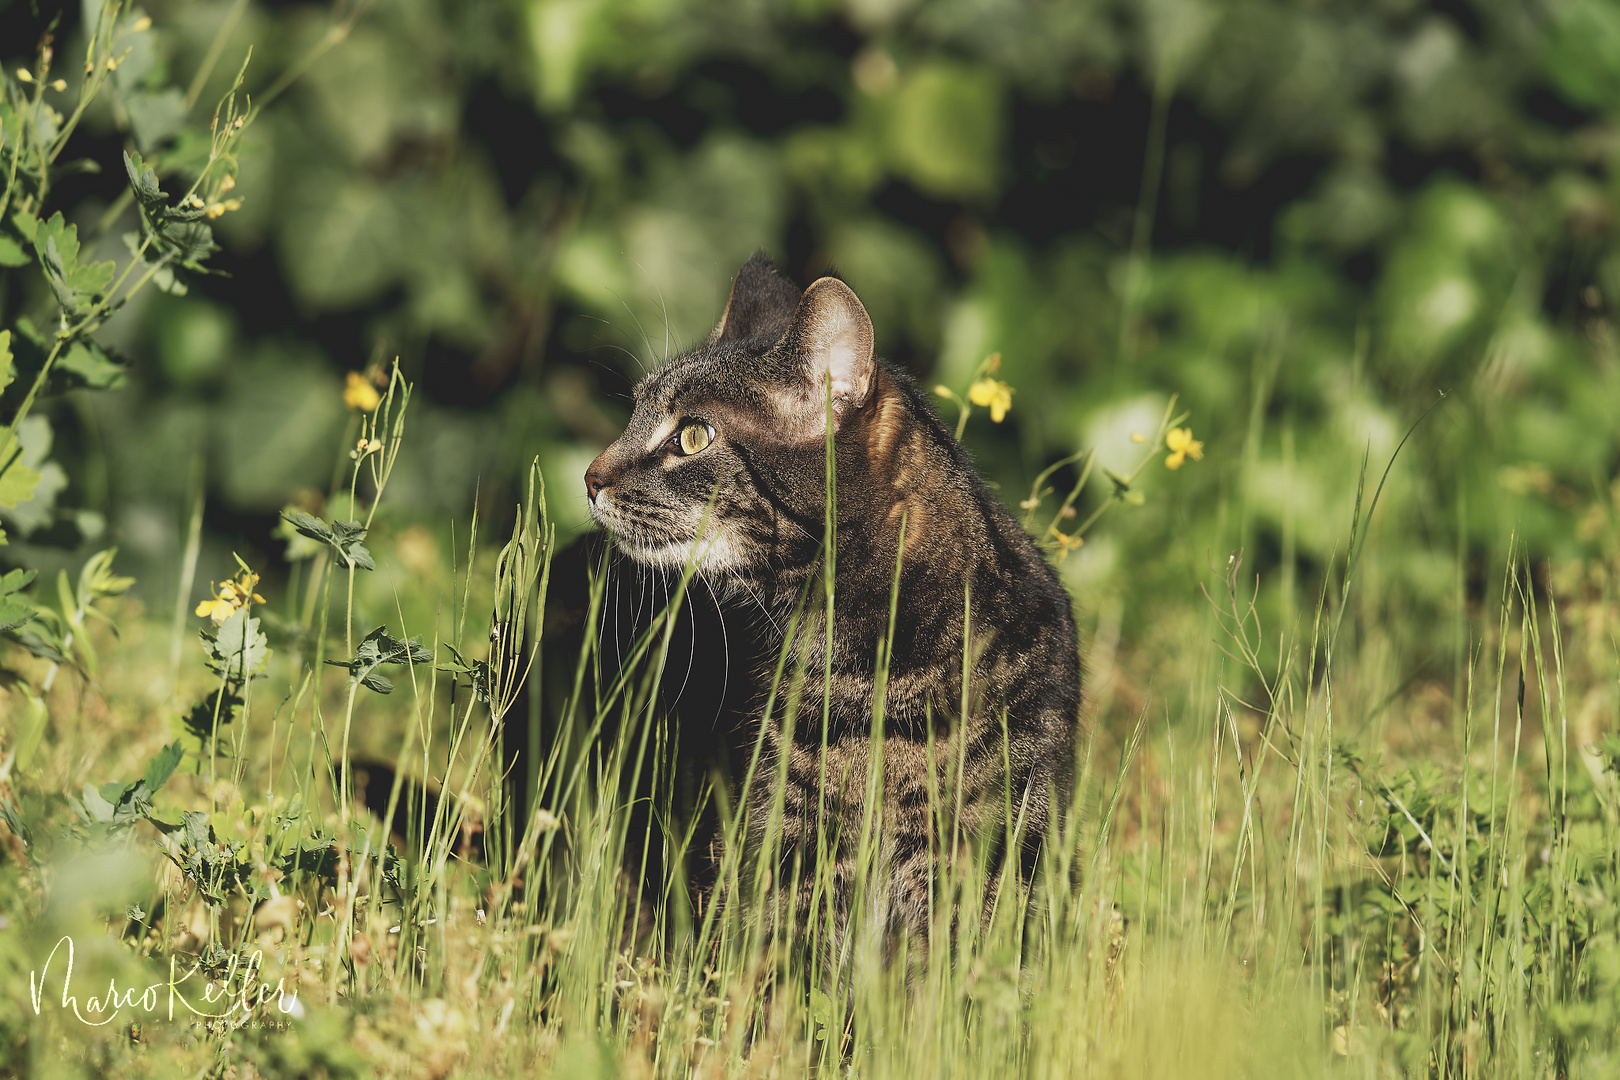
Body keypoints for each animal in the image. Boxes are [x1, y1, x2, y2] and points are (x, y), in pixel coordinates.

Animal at [576, 255, 1082, 971]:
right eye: (635, 412)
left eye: (694, 435)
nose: (590, 477)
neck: (877, 661)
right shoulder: (788, 839)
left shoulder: (992, 841)